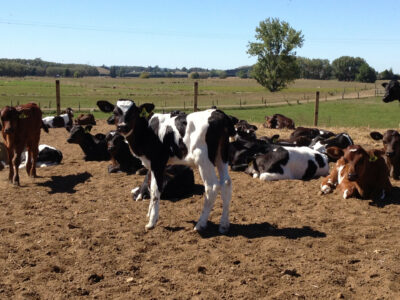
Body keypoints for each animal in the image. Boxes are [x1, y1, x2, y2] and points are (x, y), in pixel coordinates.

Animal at [97, 99, 234, 233]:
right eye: (115, 112)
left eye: (134, 112)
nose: (122, 126)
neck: (147, 131)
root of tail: (218, 114)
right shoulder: (151, 166)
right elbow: (150, 185)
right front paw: (149, 214)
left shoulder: (158, 162)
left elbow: (155, 189)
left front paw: (152, 222)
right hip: (221, 156)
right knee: (226, 182)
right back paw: (224, 225)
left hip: (203, 159)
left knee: (212, 187)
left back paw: (200, 224)